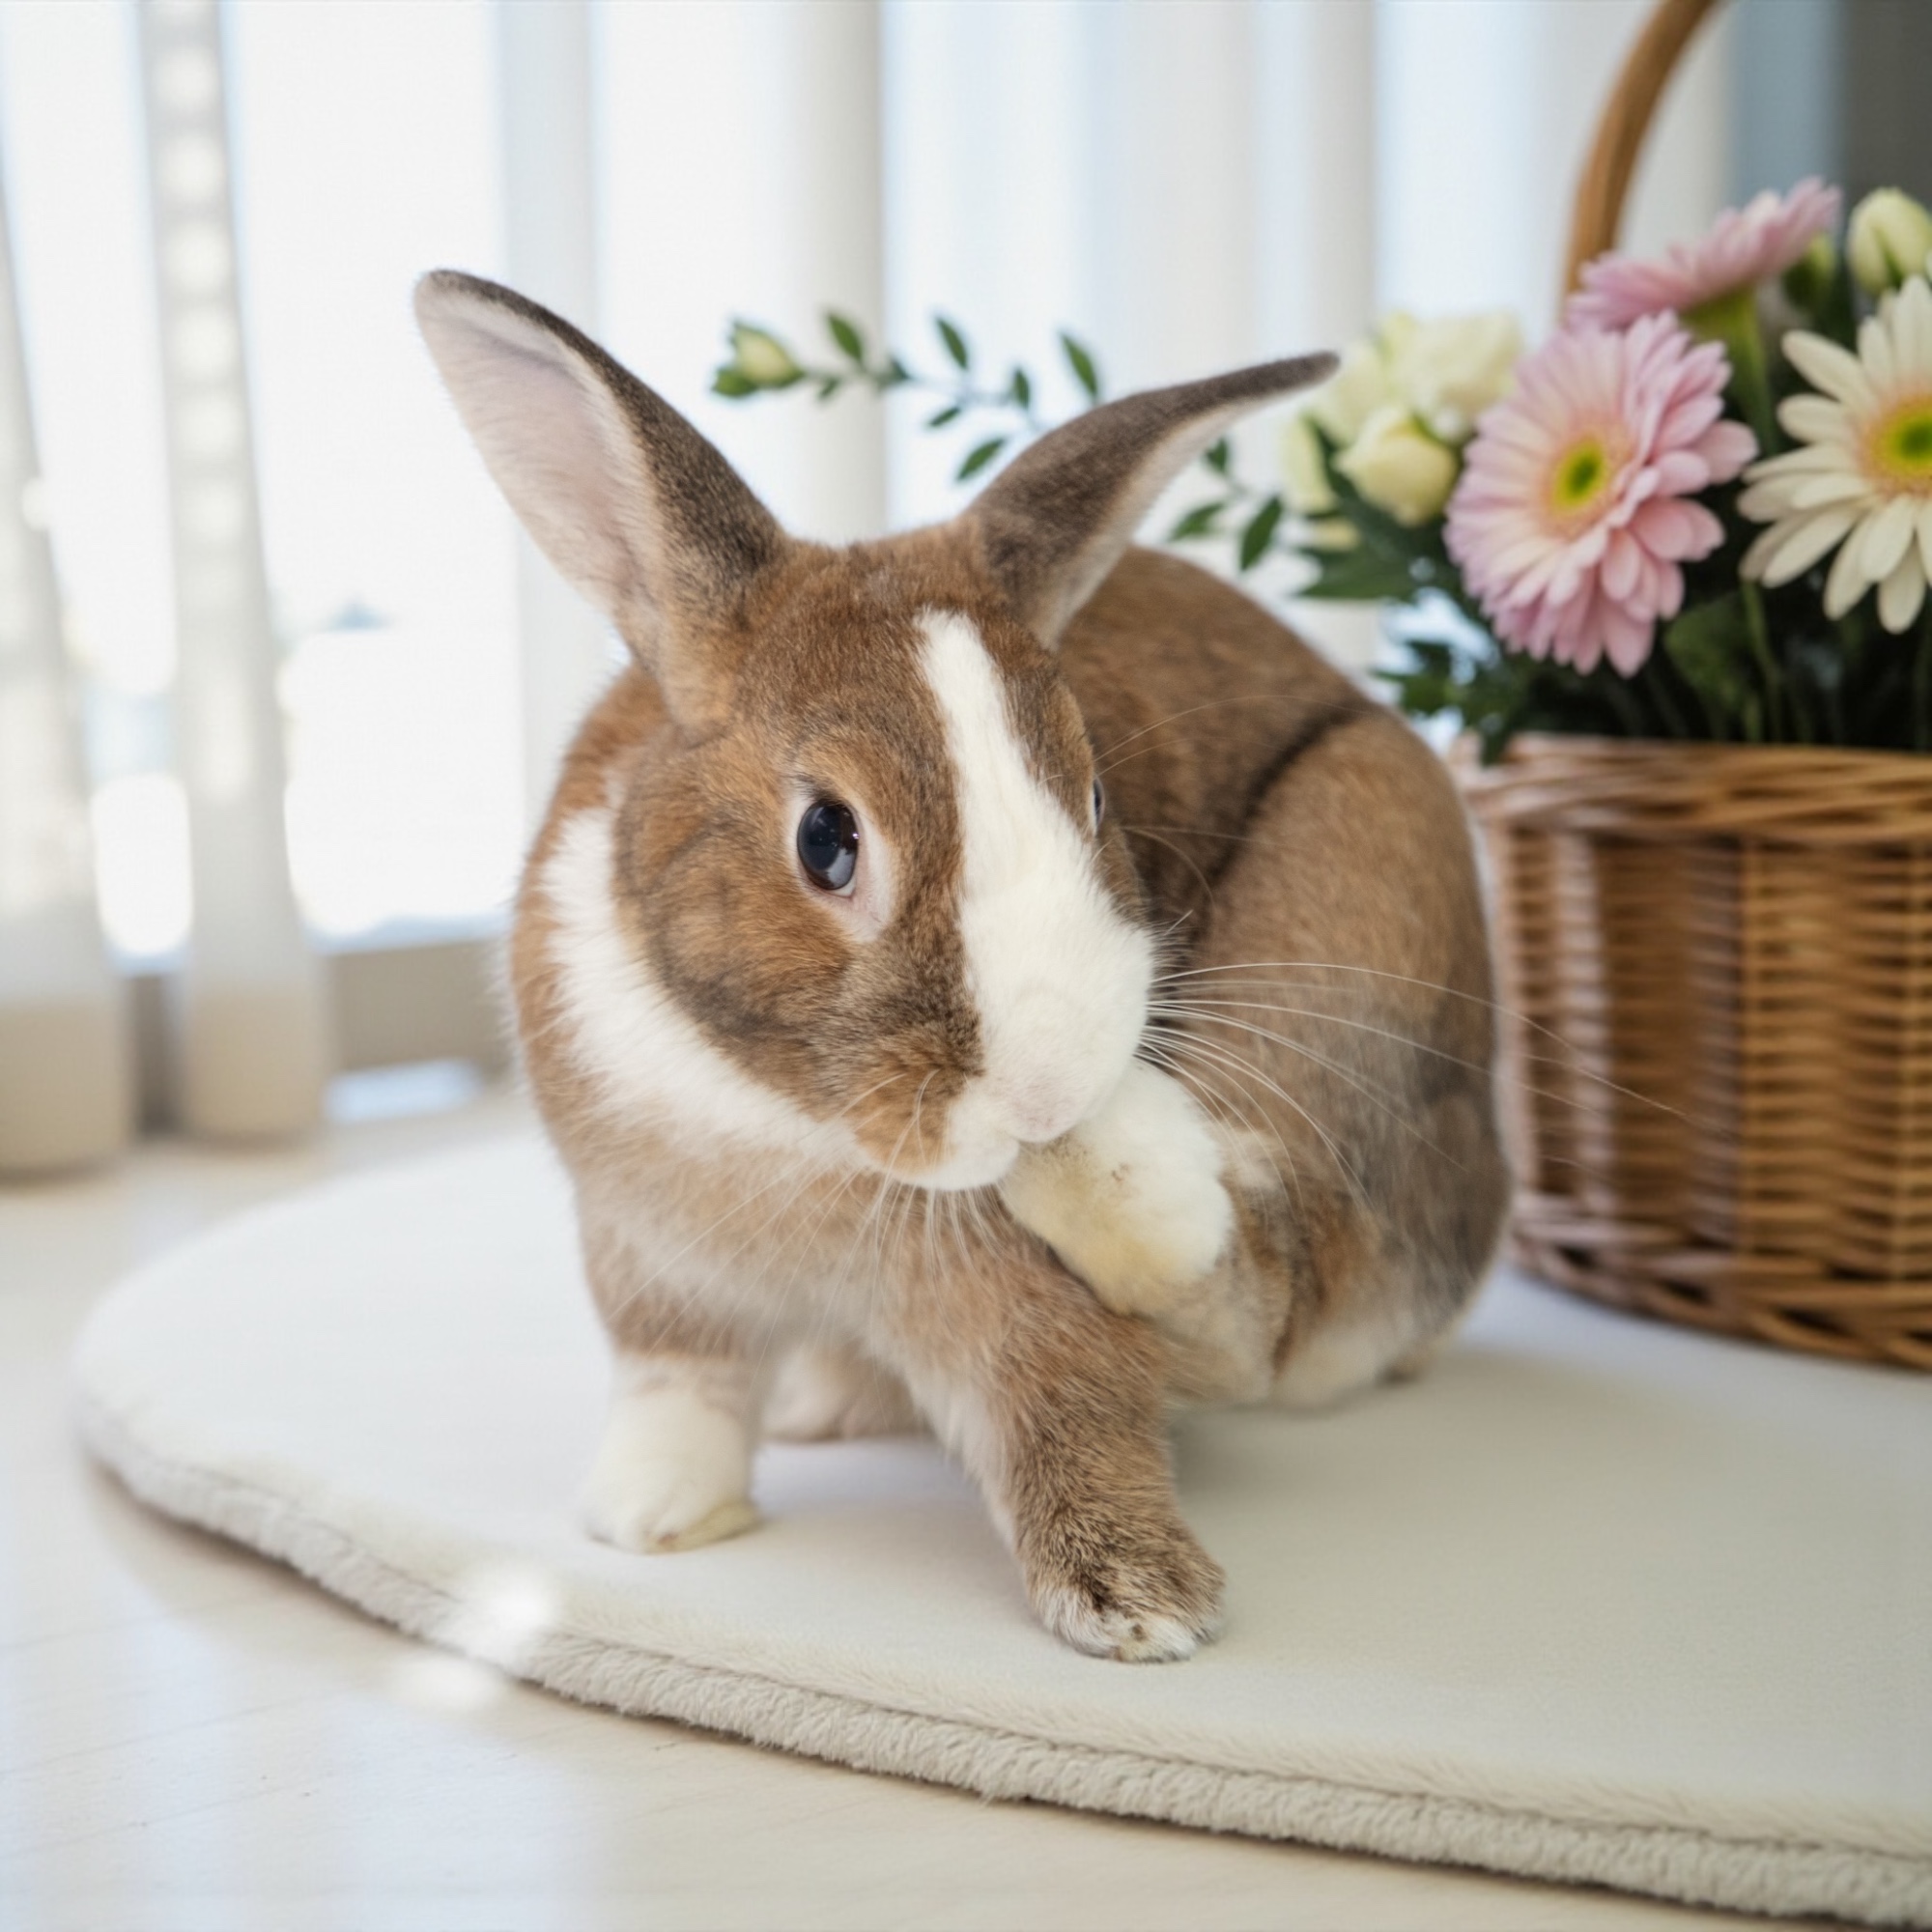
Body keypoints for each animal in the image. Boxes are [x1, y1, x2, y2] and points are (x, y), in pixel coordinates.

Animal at [415, 269, 1510, 1662]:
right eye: (826, 839)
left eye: (1095, 795)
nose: (1046, 1095)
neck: (784, 1118)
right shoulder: (647, 1263)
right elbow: (675, 1384)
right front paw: (651, 1517)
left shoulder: (1023, 1311)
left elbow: (1070, 1409)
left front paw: (1141, 1604)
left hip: (1354, 942)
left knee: (1273, 1284)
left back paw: (1122, 1172)